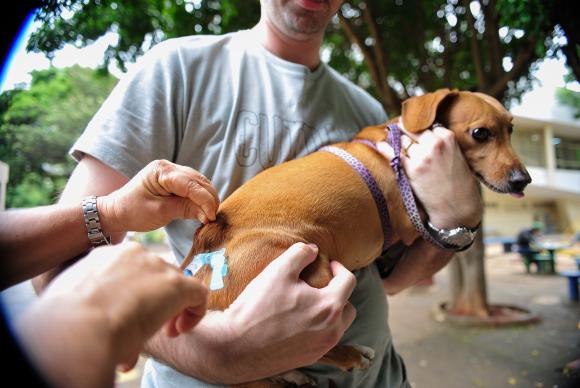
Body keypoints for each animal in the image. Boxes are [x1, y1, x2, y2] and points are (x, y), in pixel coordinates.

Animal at [181, 88, 532, 384]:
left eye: (511, 130)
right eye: (480, 133)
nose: (523, 180)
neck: (398, 144)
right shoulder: (412, 224)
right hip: (311, 271)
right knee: (302, 347)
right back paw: (350, 355)